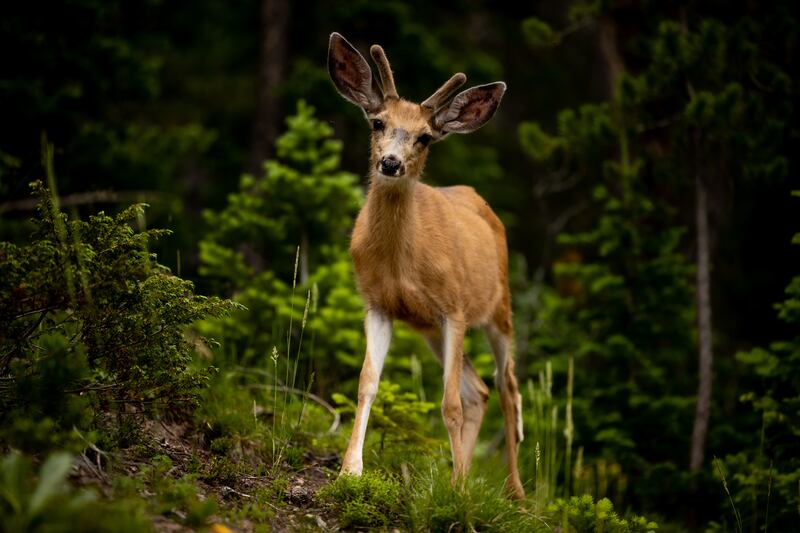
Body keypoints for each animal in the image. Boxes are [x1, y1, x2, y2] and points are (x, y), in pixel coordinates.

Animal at [327, 32, 525, 499]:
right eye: (377, 122)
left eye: (425, 138)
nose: (390, 163)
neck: (402, 260)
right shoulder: (378, 304)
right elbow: (366, 383)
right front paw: (349, 470)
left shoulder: (454, 308)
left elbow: (448, 404)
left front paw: (458, 495)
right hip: (431, 329)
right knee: (480, 390)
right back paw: (462, 476)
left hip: (498, 309)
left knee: (507, 388)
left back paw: (514, 492)